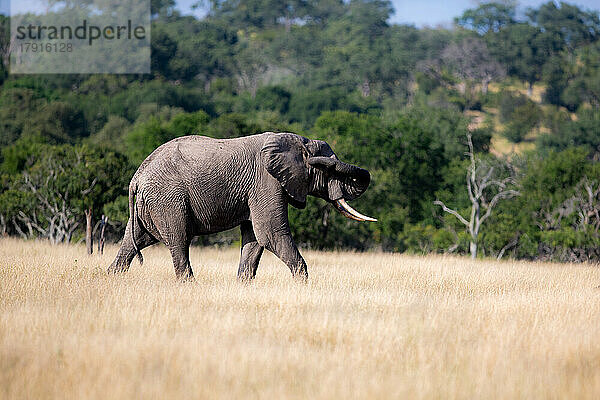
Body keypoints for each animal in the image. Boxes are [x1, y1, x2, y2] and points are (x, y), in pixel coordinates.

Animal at [108, 132, 376, 282]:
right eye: (329, 169)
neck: (297, 141)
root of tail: (136, 177)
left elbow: (255, 239)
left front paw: (244, 284)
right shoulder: (266, 181)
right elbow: (270, 233)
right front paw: (303, 285)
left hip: (150, 205)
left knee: (135, 240)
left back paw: (112, 277)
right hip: (168, 200)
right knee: (179, 240)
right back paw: (190, 285)